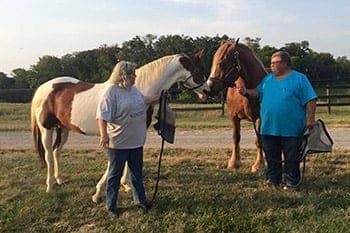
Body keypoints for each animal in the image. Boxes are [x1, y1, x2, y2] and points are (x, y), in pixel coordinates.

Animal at [31, 52, 208, 194]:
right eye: (197, 70)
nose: (208, 91)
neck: (134, 91)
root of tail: (44, 87)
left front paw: (126, 185)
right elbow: (115, 161)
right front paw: (101, 189)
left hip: (64, 129)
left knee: (56, 151)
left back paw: (59, 179)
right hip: (47, 129)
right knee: (48, 154)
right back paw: (50, 186)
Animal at [206, 39, 266, 172]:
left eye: (222, 64)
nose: (208, 88)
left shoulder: (260, 118)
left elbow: (259, 140)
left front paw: (259, 165)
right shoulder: (233, 117)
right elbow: (236, 137)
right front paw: (234, 162)